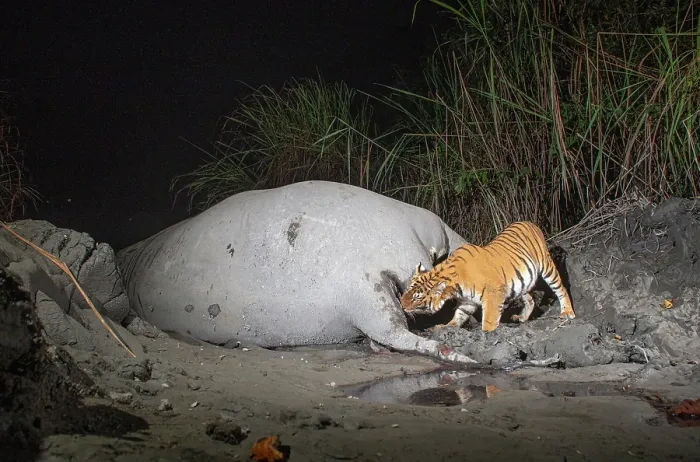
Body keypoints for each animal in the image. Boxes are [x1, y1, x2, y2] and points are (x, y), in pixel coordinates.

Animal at [400, 221, 575, 332]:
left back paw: (567, 312)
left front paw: (488, 333)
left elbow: (489, 320)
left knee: (561, 288)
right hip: (522, 283)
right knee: (530, 299)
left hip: (547, 267)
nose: (401, 305)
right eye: (407, 290)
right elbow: (459, 315)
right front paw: (447, 327)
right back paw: (521, 318)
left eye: (417, 298)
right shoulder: (468, 301)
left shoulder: (493, 295)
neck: (455, 287)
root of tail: (529, 222)